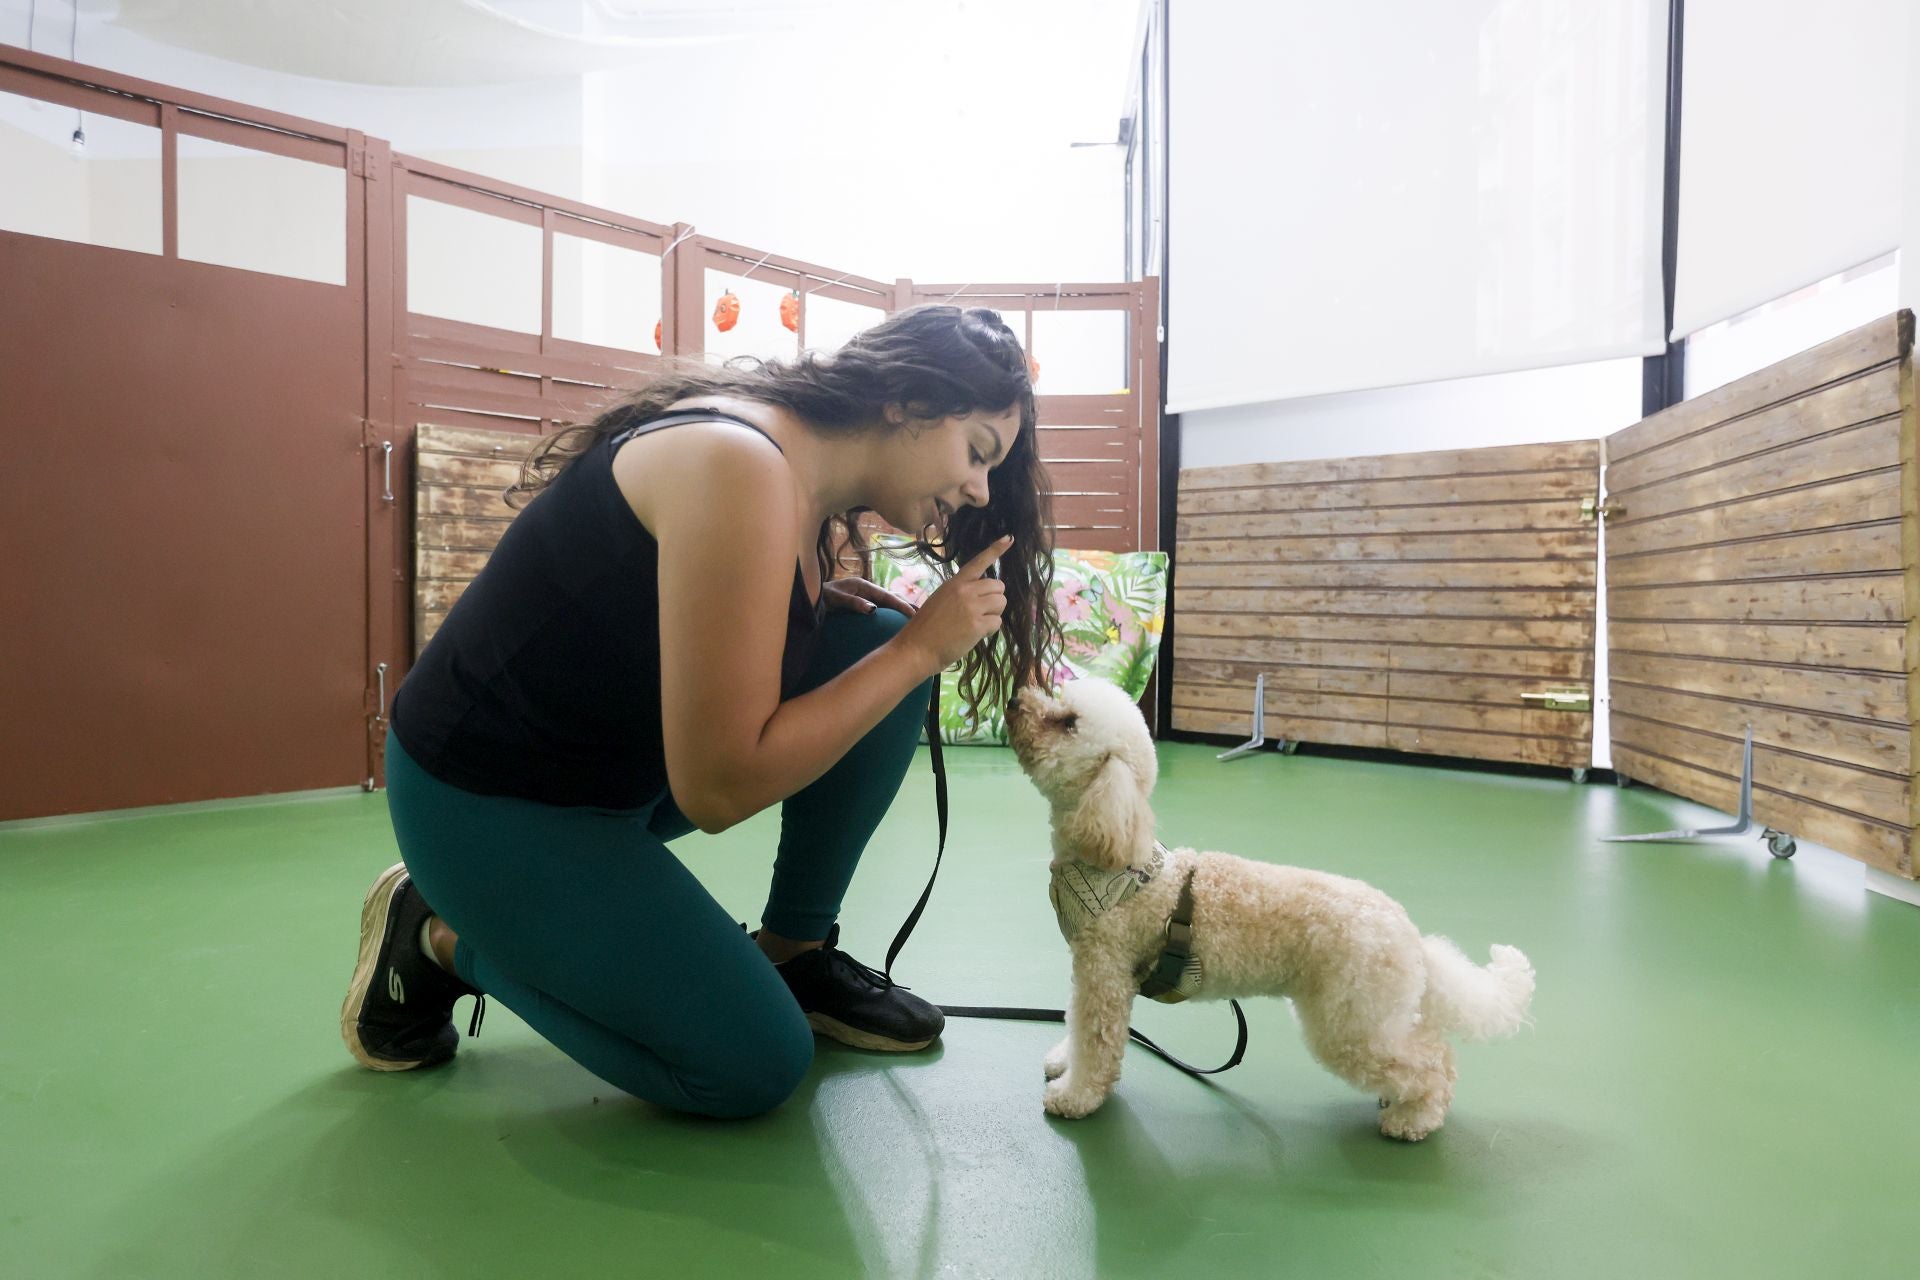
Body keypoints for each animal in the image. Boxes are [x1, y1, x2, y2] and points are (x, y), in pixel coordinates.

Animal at [1006, 675, 1528, 1136]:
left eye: (1068, 722)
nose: (1014, 700)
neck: (1113, 860)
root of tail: (1409, 934)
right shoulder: (1089, 973)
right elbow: (1075, 1023)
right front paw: (1063, 1063)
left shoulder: (1106, 976)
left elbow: (1096, 1044)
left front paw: (1075, 1096)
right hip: (1370, 1016)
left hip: (1349, 1025)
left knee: (1433, 1062)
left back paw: (1413, 1120)